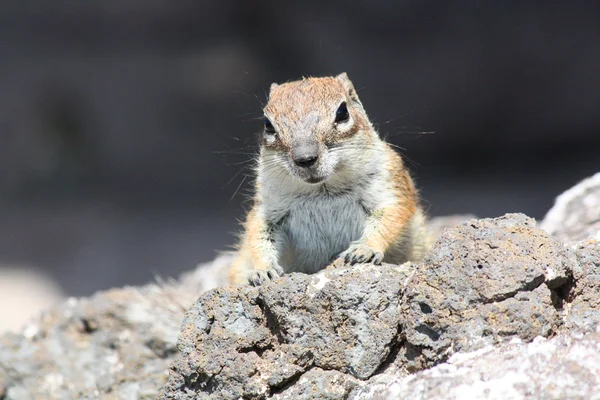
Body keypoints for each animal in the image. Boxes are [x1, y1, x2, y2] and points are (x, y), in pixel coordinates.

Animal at [230, 72, 432, 284]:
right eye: (267, 124)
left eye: (342, 112)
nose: (305, 158)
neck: (323, 190)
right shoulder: (268, 208)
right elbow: (259, 233)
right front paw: (263, 269)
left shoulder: (389, 186)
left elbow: (390, 217)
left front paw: (364, 248)